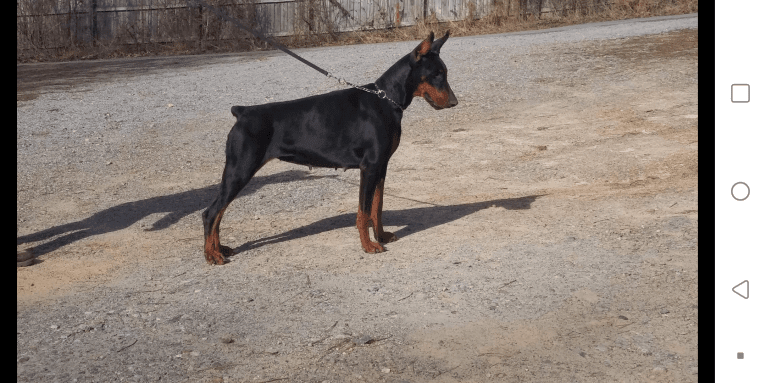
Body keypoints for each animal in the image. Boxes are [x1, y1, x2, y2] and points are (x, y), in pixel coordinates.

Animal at [201, 31, 460, 266]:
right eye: (436, 74)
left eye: (445, 73)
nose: (454, 102)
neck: (386, 100)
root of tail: (242, 112)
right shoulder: (369, 167)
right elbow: (363, 212)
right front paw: (368, 245)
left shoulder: (381, 167)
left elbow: (377, 207)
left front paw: (381, 236)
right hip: (240, 169)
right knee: (211, 212)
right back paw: (211, 255)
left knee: (218, 212)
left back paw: (220, 249)